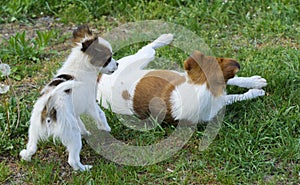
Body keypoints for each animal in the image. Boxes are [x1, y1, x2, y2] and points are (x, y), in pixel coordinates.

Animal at [19, 25, 118, 171]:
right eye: (108, 59)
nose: (117, 64)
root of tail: (49, 104)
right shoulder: (90, 103)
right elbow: (100, 114)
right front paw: (106, 128)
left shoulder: (74, 113)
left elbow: (81, 123)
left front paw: (86, 133)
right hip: (72, 134)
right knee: (72, 160)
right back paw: (84, 168)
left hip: (34, 129)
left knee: (30, 149)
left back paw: (26, 156)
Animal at [98, 34, 268, 124]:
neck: (201, 86)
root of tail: (99, 80)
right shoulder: (216, 103)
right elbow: (234, 96)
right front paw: (255, 92)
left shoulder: (184, 75)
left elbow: (234, 79)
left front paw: (255, 81)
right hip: (139, 58)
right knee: (147, 48)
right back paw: (165, 38)